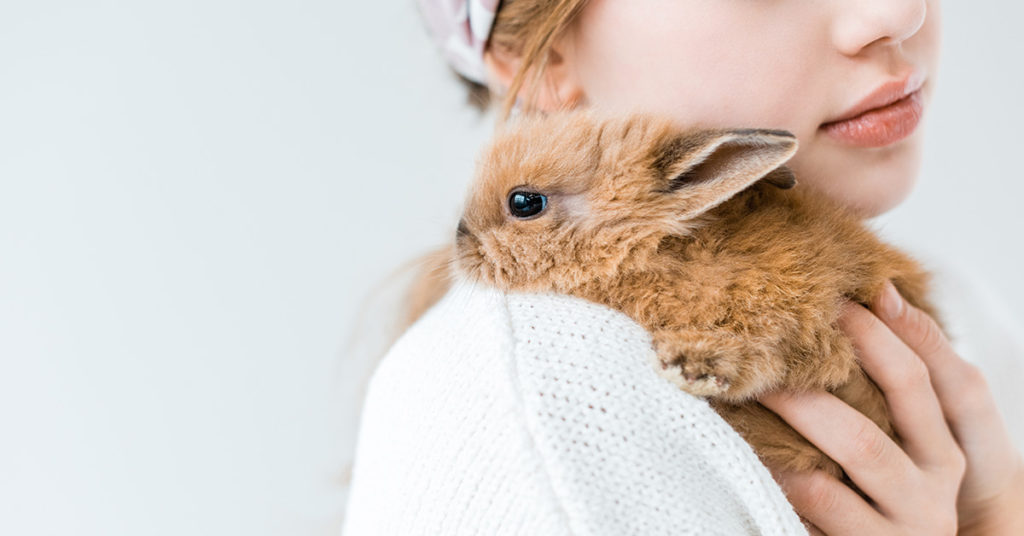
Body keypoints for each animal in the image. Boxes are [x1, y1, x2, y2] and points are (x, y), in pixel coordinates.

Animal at [452, 110, 941, 478]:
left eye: (524, 203)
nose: (460, 239)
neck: (658, 251)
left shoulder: (798, 315)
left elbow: (766, 351)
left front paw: (691, 364)